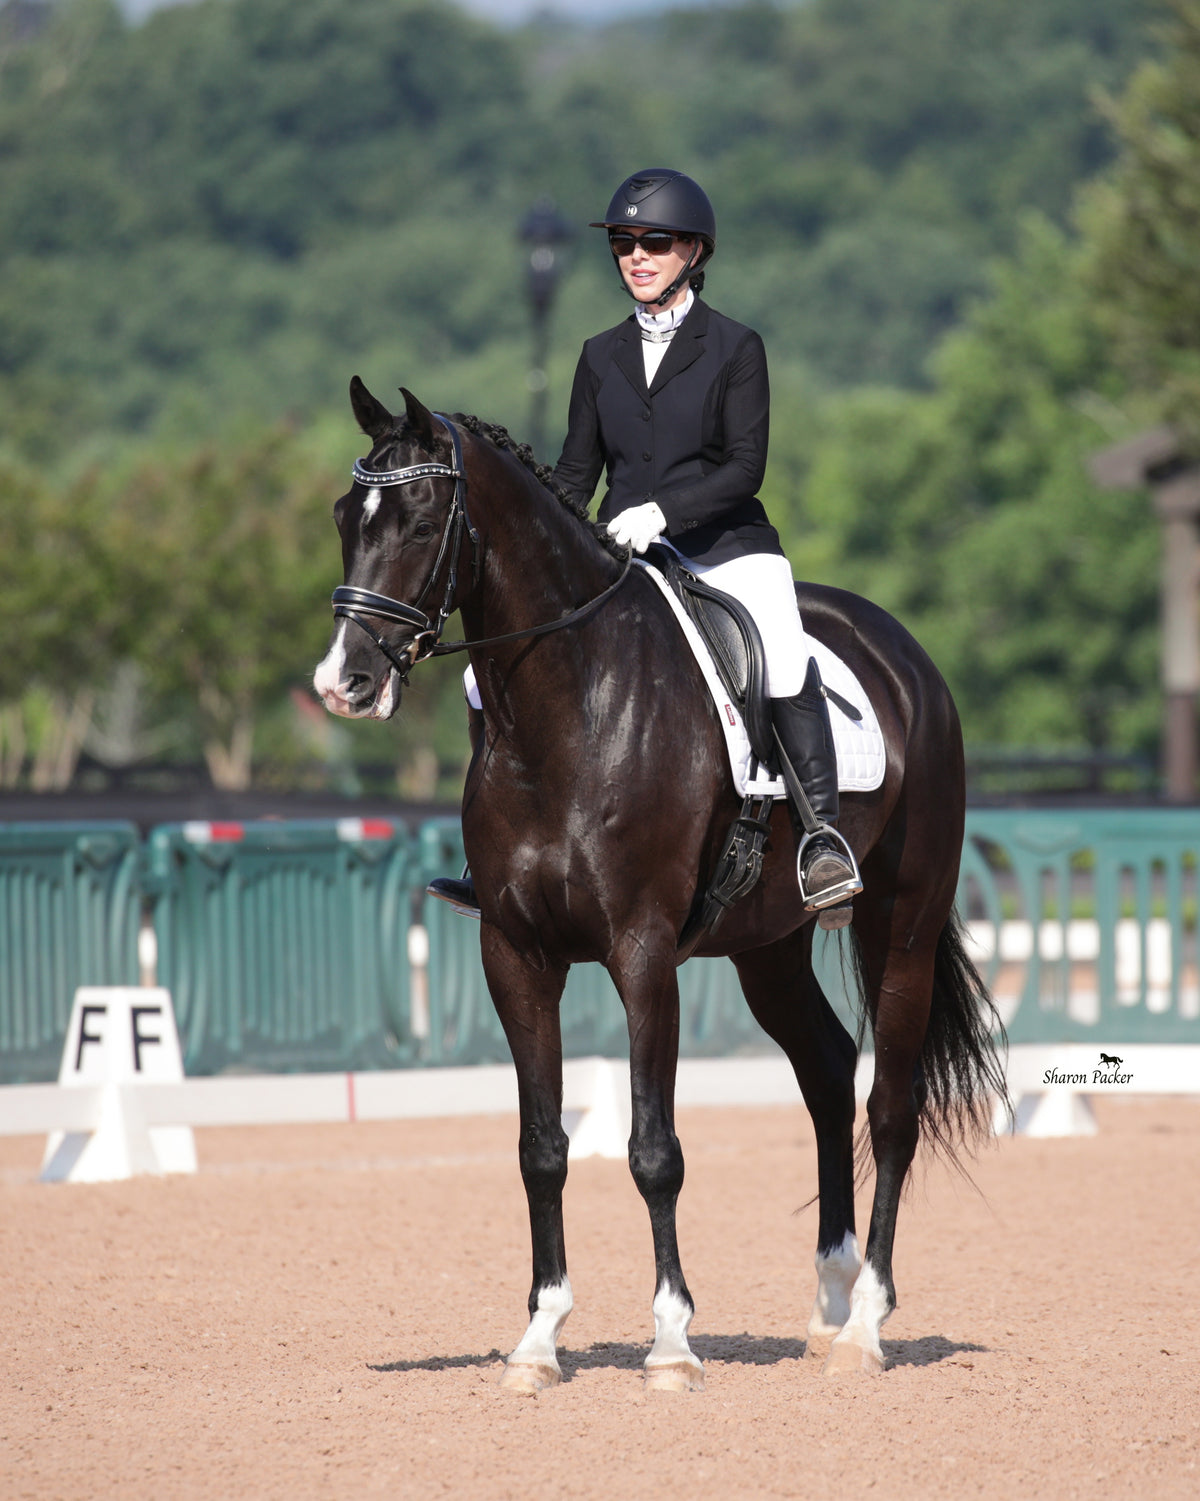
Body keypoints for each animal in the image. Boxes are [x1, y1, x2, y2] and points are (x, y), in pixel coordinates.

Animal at [313, 381, 1009, 1386]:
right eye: (344, 516)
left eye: (420, 519)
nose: (345, 682)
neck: (570, 704)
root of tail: (903, 651)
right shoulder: (513, 953)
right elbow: (541, 1148)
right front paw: (538, 1338)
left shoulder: (641, 953)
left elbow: (653, 1150)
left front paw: (673, 1340)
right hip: (769, 948)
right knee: (828, 1071)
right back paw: (830, 1304)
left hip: (901, 922)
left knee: (890, 1105)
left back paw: (867, 1327)